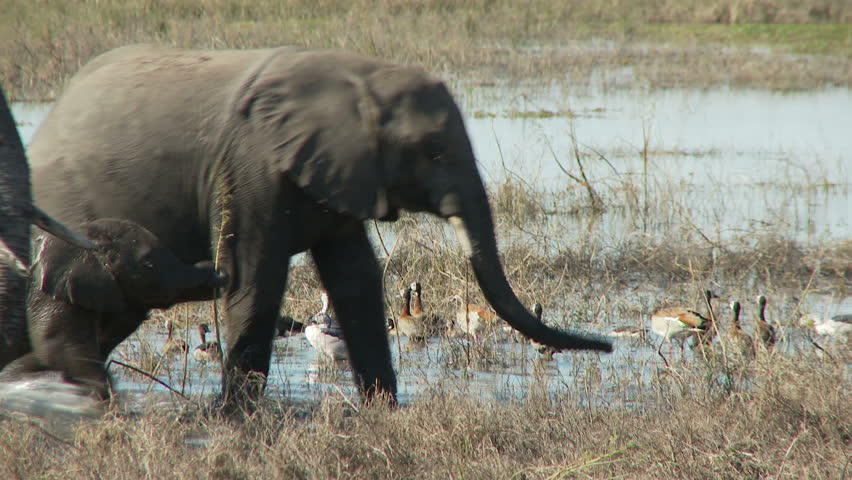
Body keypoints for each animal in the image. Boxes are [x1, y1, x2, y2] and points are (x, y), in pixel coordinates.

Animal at [27, 44, 613, 407]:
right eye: (433, 149)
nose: (605, 346)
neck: (358, 77)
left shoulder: (338, 171)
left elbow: (356, 278)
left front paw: (383, 413)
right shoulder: (250, 169)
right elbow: (256, 277)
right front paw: (235, 418)